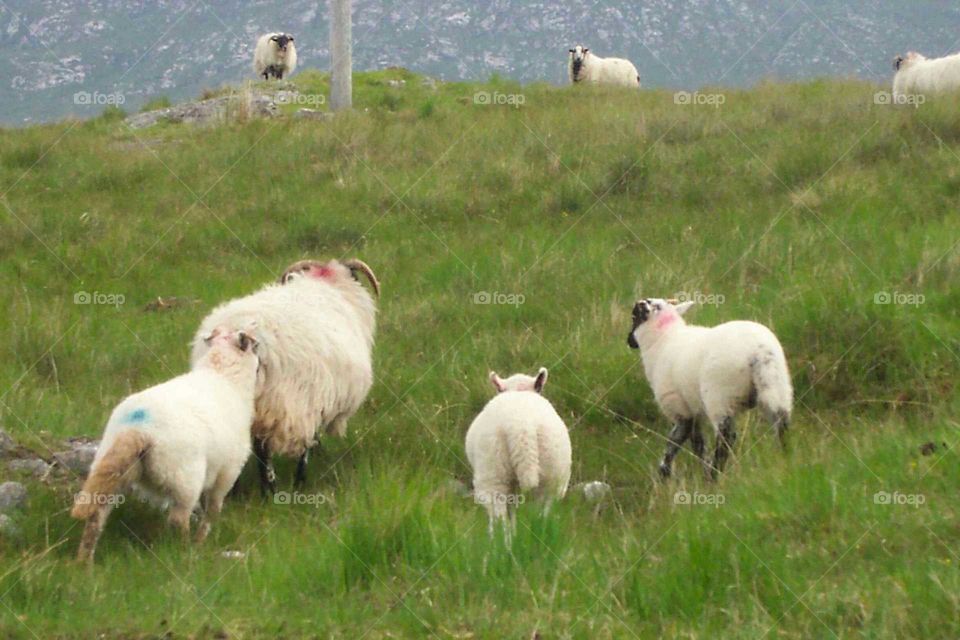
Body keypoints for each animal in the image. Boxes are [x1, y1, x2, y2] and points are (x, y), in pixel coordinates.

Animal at [71, 327, 260, 562]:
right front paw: (202, 539)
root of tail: (137, 428)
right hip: (185, 477)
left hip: (113, 468)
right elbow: (213, 509)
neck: (223, 374)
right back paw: (187, 551)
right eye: (256, 347)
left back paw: (84, 562)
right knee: (179, 518)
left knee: (96, 516)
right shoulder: (228, 471)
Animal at [191, 258, 380, 494]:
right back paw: (274, 488)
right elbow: (308, 442)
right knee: (266, 449)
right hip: (284, 403)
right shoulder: (311, 402)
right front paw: (300, 478)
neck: (326, 282)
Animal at [626, 298, 792, 479]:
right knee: (782, 425)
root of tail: (759, 351)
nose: (629, 341)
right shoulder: (694, 410)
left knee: (726, 438)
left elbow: (675, 442)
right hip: (778, 386)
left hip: (719, 397)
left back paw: (714, 475)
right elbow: (697, 443)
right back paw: (785, 458)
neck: (662, 340)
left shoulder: (680, 408)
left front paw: (664, 474)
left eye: (634, 317)